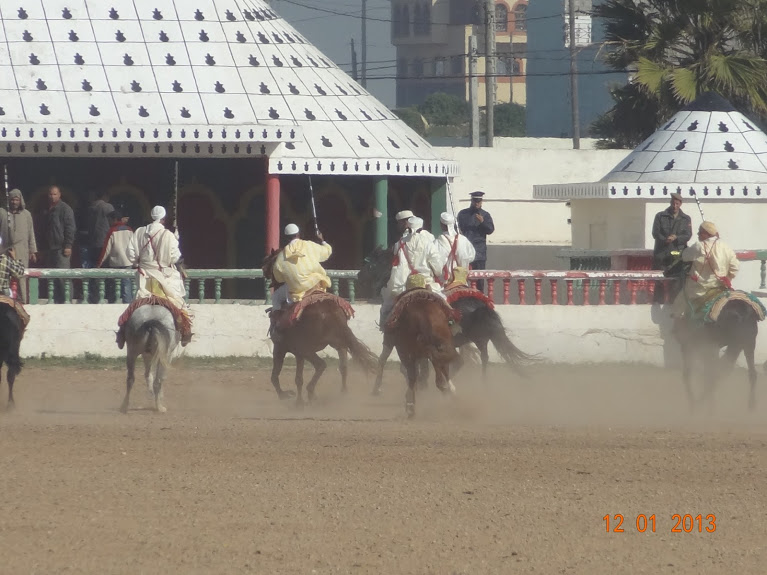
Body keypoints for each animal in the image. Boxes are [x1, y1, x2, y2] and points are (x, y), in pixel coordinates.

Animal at [262, 250, 380, 408]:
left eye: (269, 261)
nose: (263, 270)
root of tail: (331, 310)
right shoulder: (299, 353)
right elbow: (295, 377)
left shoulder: (282, 348)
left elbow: (278, 376)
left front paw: (288, 397)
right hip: (338, 344)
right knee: (342, 367)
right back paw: (342, 393)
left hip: (307, 349)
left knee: (320, 365)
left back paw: (309, 394)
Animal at [358, 243, 536, 396]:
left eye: (372, 263)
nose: (359, 275)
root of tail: (481, 307)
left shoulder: (393, 339)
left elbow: (390, 362)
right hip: (478, 339)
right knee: (480, 358)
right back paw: (479, 383)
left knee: (464, 361)